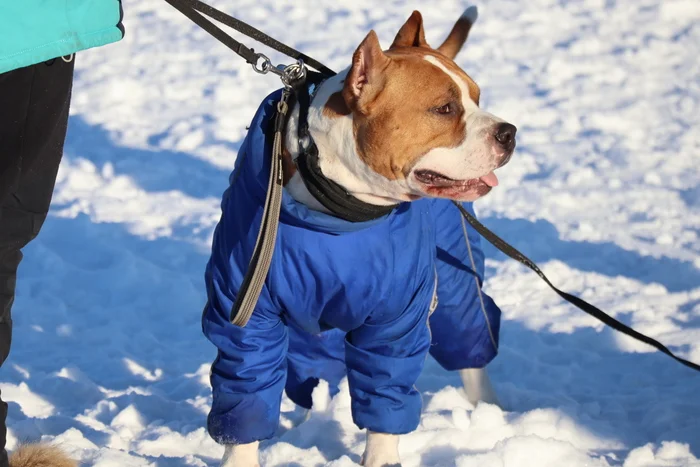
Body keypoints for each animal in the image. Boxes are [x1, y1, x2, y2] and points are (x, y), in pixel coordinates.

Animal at [200, 5, 516, 466]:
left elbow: (386, 393)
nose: (509, 132)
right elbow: (246, 391)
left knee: (471, 341)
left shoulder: (397, 319)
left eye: (477, 96)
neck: (338, 215)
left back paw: (489, 412)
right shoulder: (245, 314)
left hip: (457, 281)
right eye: (444, 108)